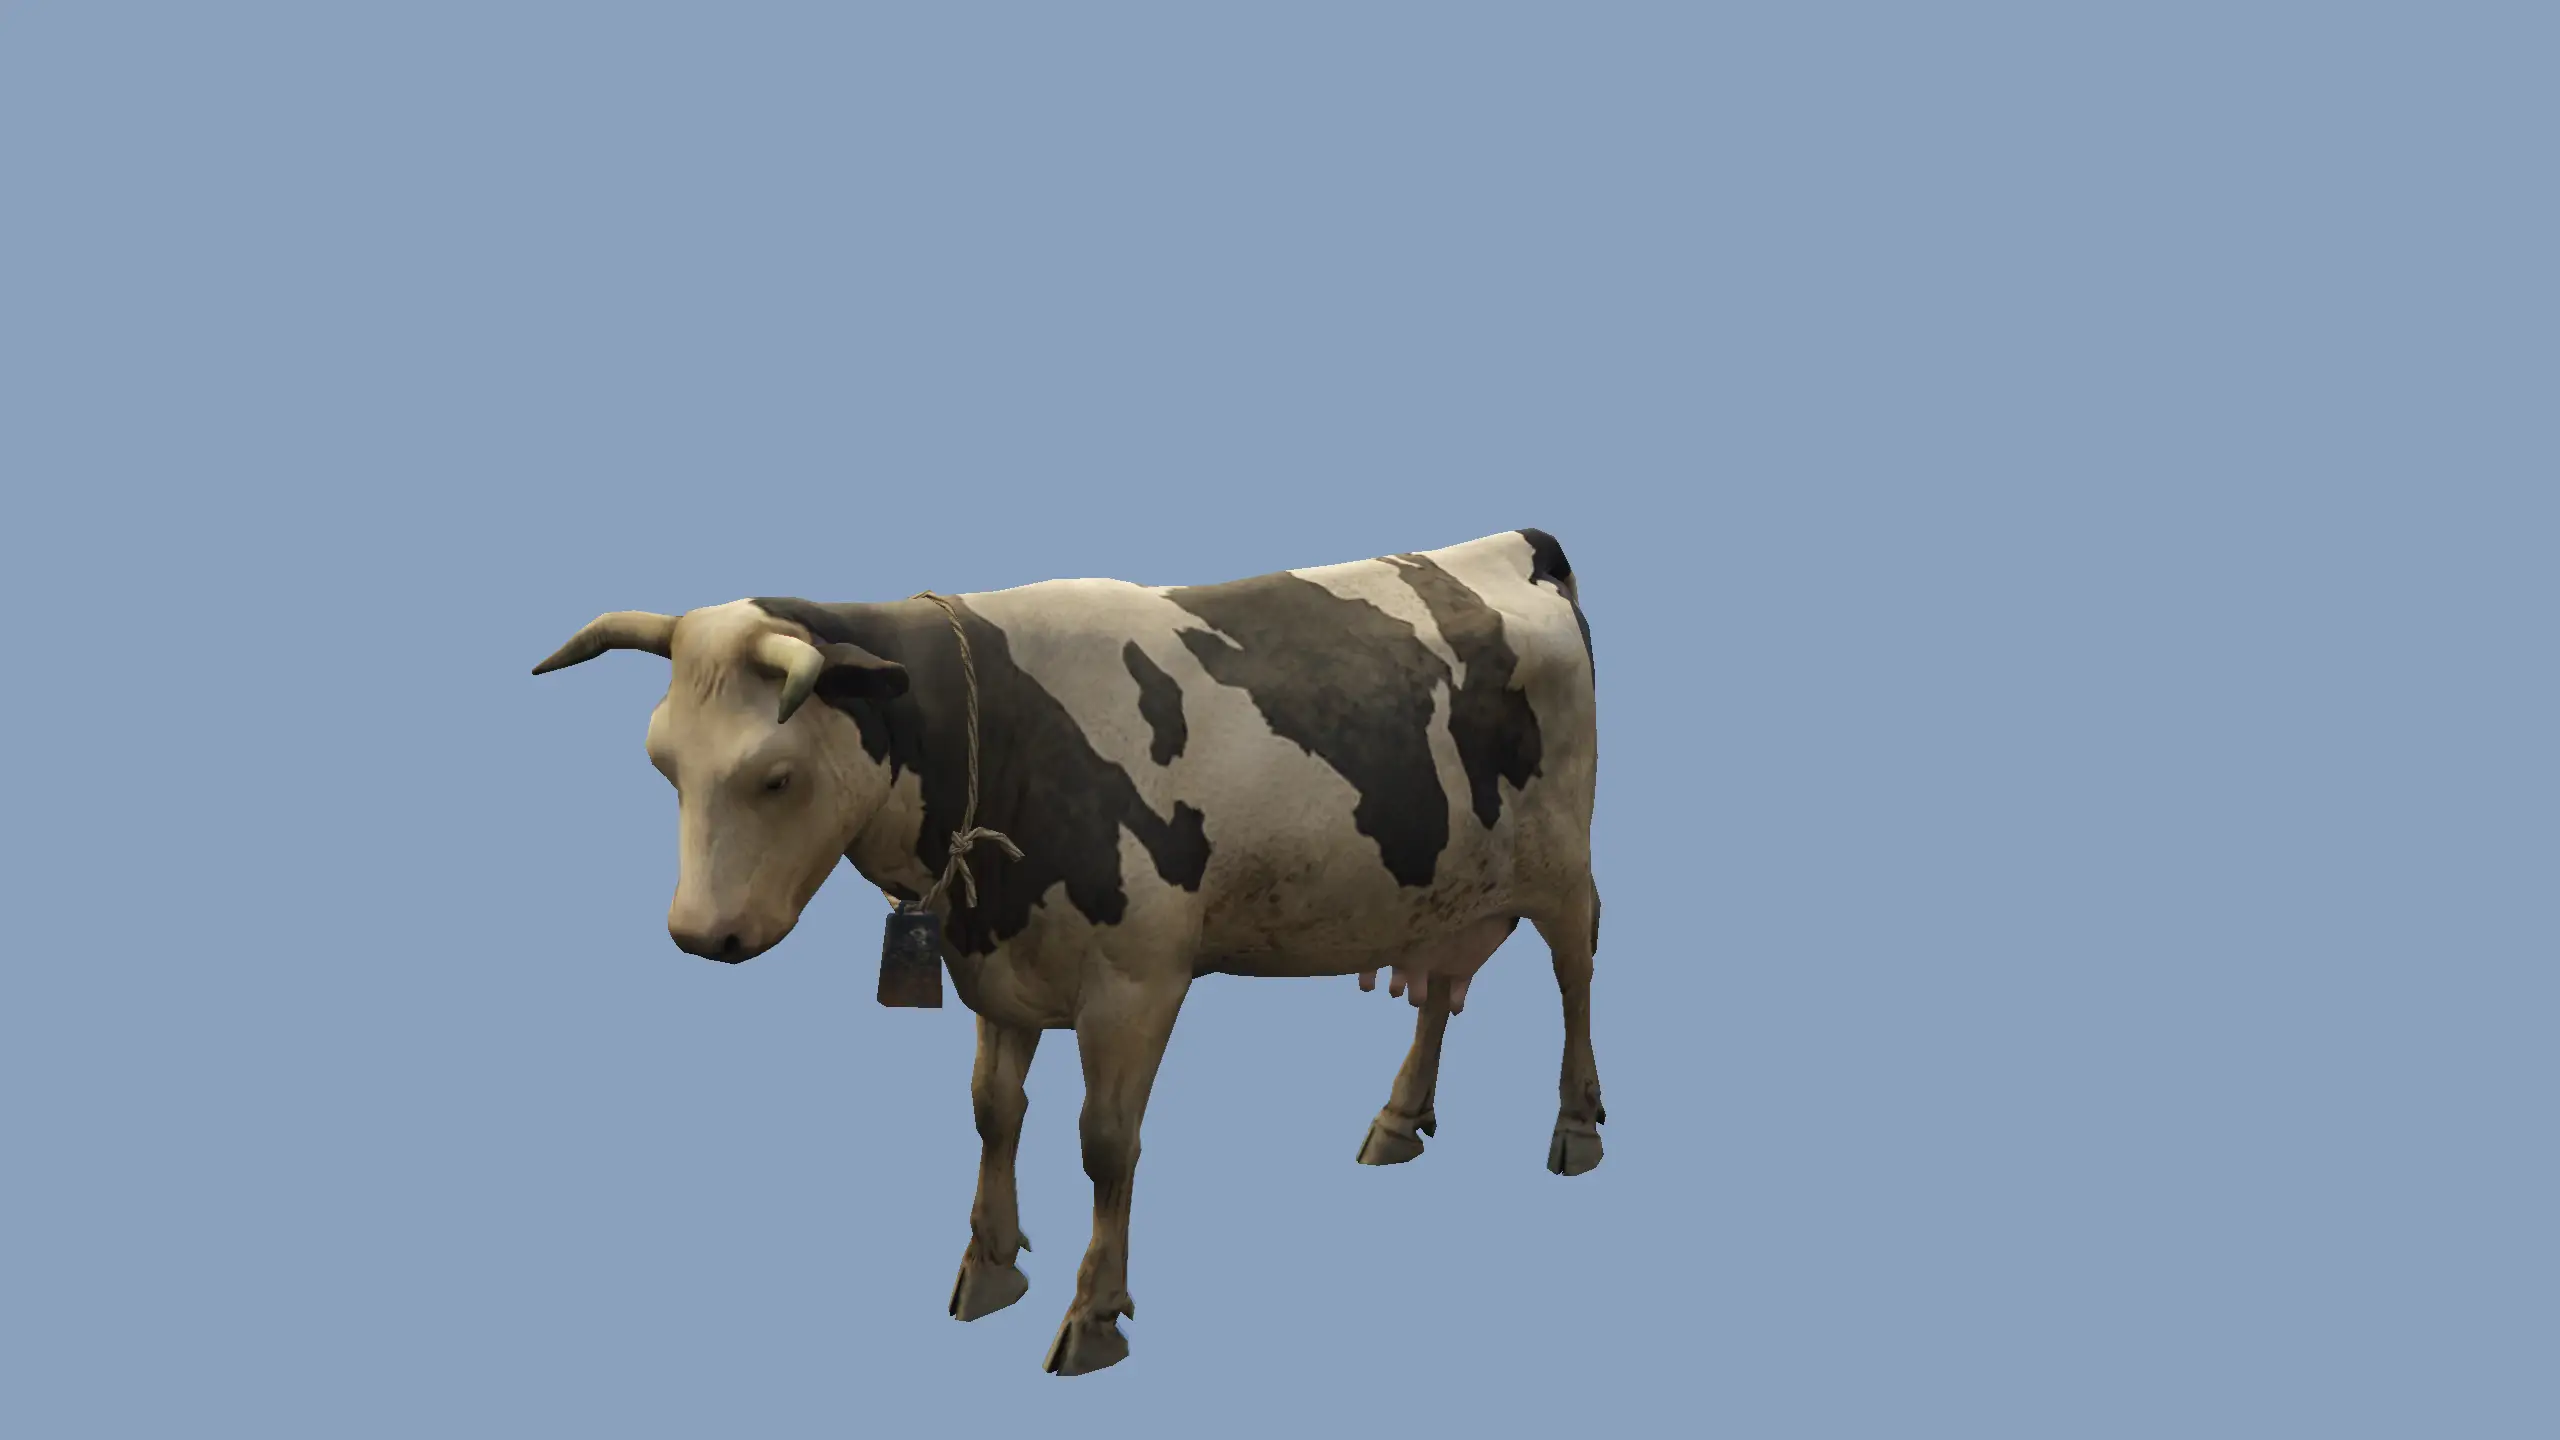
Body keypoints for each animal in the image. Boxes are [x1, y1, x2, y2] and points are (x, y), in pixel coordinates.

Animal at [530, 528, 1603, 1374]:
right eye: (663, 764)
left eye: (777, 776)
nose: (698, 934)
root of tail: (1514, 543)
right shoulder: (998, 971)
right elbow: (992, 1113)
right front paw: (989, 1266)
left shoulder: (1138, 980)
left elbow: (1105, 1142)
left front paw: (1094, 1314)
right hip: (1450, 883)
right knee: (1442, 982)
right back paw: (1399, 1119)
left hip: (1561, 861)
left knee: (1576, 970)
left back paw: (1576, 1125)